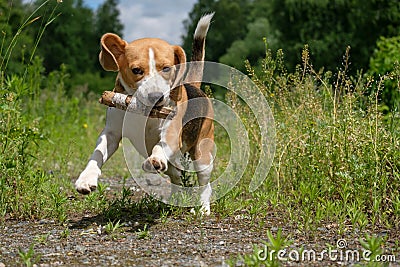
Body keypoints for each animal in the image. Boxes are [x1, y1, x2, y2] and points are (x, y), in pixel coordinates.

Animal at [73, 14, 214, 216]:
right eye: (136, 70)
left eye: (166, 68)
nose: (156, 97)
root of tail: (193, 86)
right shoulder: (111, 134)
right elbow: (97, 154)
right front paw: (86, 179)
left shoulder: (171, 132)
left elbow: (160, 146)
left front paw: (155, 159)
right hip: (174, 166)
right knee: (176, 177)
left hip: (203, 156)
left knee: (204, 183)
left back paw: (202, 208)